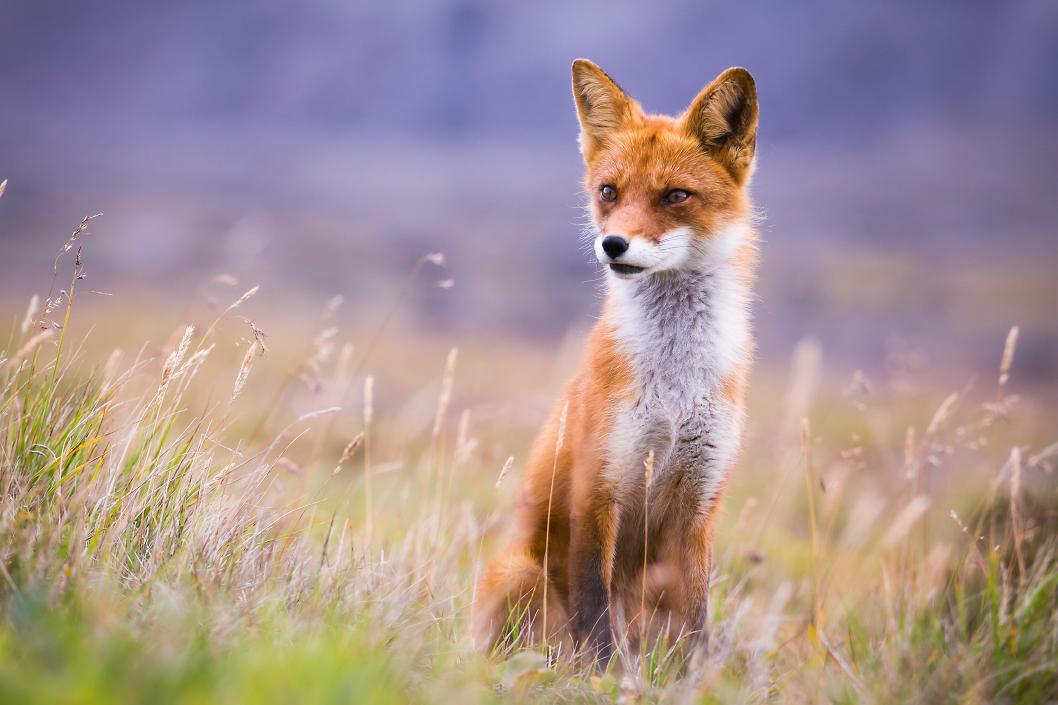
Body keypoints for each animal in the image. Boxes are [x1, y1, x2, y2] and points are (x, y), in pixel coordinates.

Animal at [473, 57, 761, 656]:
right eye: (609, 191)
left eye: (675, 196)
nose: (613, 245)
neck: (674, 386)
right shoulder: (599, 489)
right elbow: (595, 618)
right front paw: (603, 672)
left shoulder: (700, 504)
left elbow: (695, 625)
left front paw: (691, 674)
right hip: (520, 572)